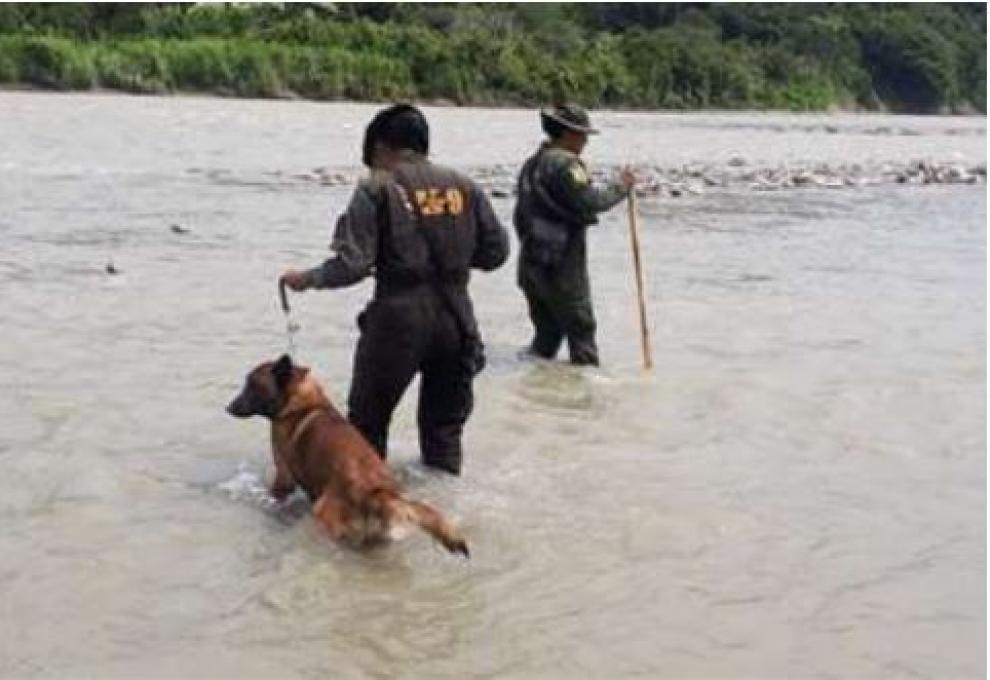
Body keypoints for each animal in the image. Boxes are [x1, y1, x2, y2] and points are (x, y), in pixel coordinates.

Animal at [229, 354, 468, 556]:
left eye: (252, 386)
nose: (228, 407)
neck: (302, 402)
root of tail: (377, 493)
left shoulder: (283, 475)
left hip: (325, 517)